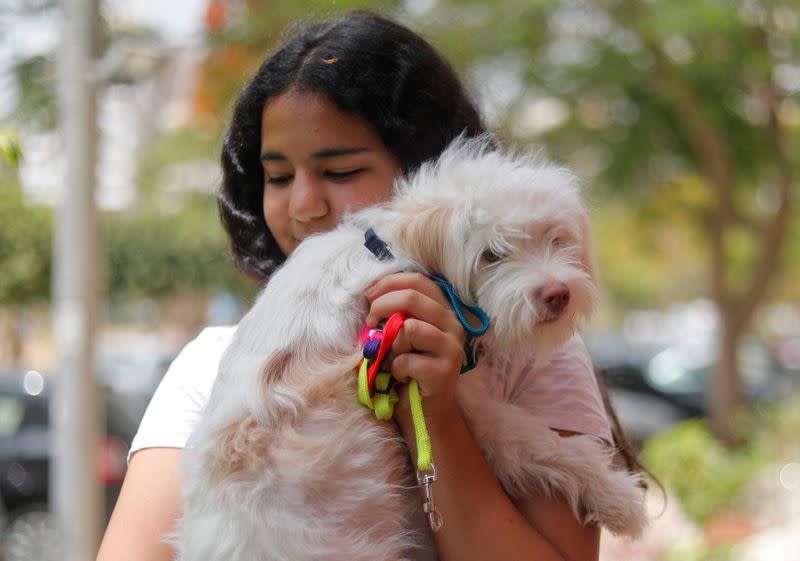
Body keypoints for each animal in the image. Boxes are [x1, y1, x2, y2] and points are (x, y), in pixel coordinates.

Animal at [173, 137, 644, 560]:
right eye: (492, 255)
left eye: (556, 239)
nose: (557, 294)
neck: (395, 248)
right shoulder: (468, 402)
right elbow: (533, 440)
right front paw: (619, 499)